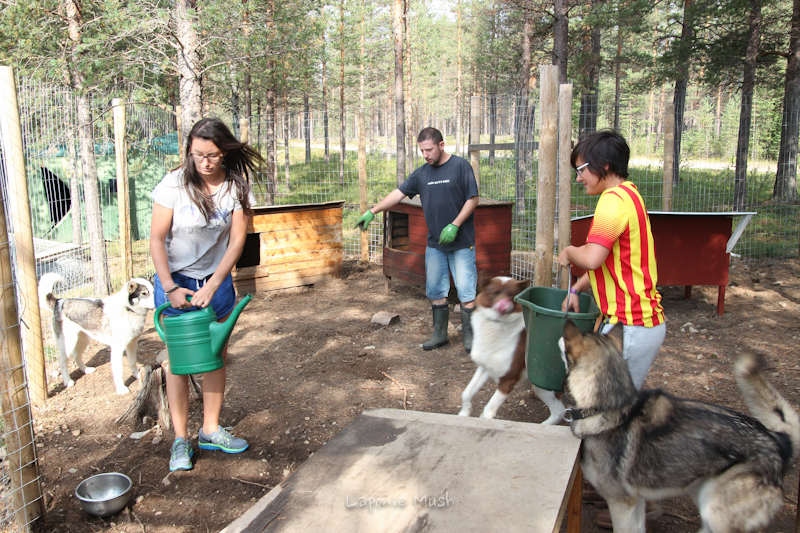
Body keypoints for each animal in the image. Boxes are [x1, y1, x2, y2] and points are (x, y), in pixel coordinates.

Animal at [460, 276, 564, 422]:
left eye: (511, 296)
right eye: (495, 292)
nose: (503, 305)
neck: (498, 323)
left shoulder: (508, 379)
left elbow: (488, 412)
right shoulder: (485, 368)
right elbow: (466, 394)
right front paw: (463, 414)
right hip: (540, 385)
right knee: (559, 411)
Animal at [560, 320, 796, 532]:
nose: (559, 338)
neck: (606, 407)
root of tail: (778, 442)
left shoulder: (622, 505)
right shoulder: (636, 503)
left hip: (716, 513)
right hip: (703, 496)